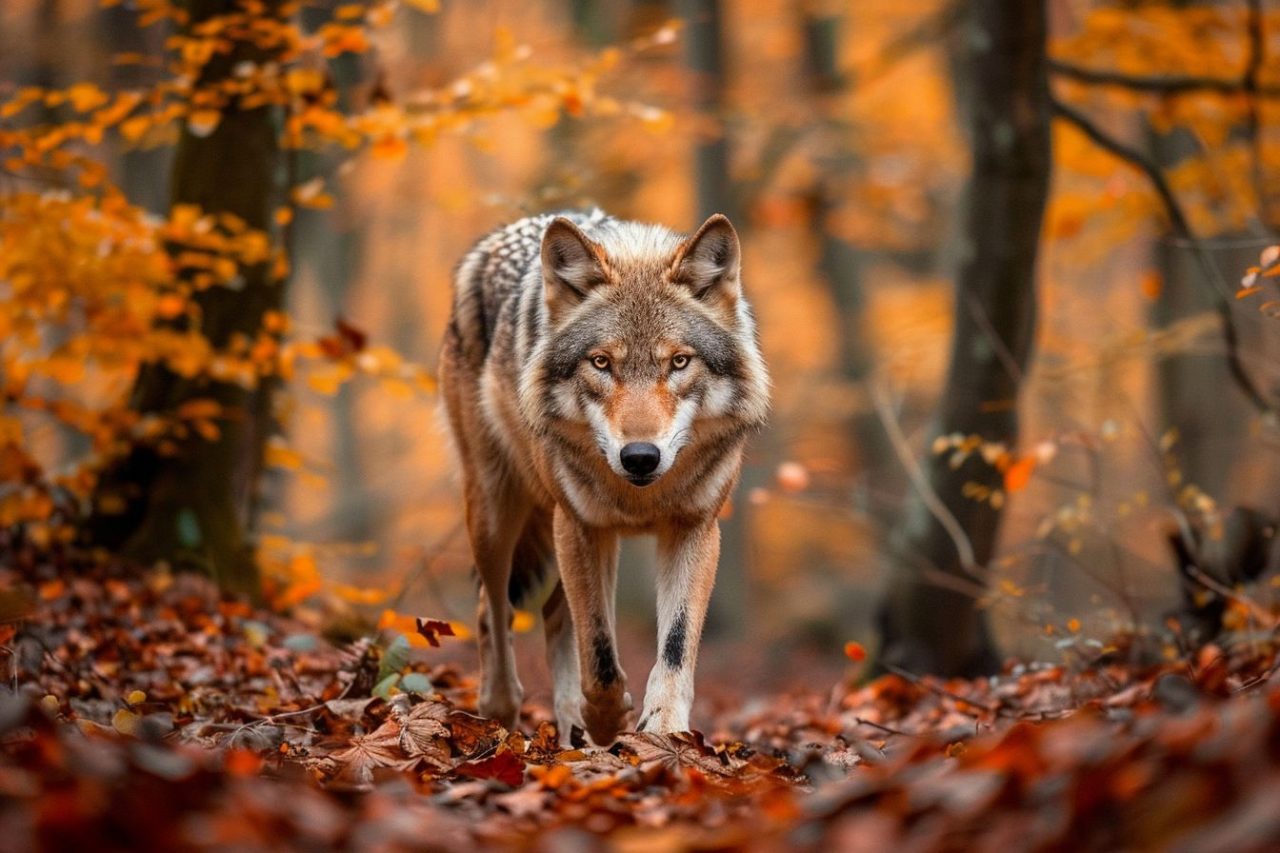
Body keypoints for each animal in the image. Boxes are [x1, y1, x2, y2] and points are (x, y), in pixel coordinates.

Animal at [439, 209, 769, 746]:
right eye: (601, 362)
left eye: (679, 361)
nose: (640, 457)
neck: (640, 501)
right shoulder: (581, 527)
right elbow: (599, 651)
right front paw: (608, 721)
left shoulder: (695, 529)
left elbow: (674, 643)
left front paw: (663, 730)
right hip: (495, 515)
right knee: (494, 608)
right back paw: (501, 708)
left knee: (553, 615)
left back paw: (570, 728)